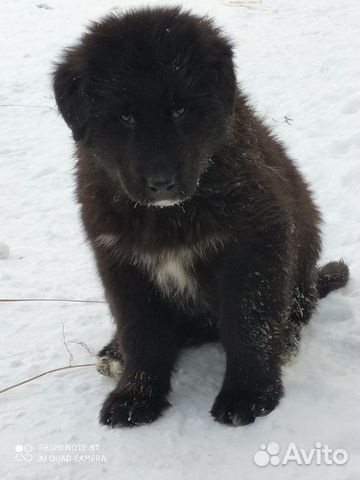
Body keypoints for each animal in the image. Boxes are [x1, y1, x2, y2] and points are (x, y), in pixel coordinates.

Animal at [53, 6, 348, 428]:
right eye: (124, 117)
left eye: (180, 108)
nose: (162, 182)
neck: (170, 216)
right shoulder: (120, 260)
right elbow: (140, 332)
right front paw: (136, 395)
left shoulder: (255, 243)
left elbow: (248, 324)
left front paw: (249, 394)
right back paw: (115, 353)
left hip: (300, 265)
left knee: (295, 309)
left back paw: (286, 340)